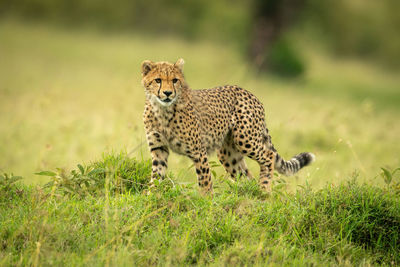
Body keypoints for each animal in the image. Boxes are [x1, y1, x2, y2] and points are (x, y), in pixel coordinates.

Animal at [141, 58, 316, 194]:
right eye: (158, 80)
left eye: (175, 80)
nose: (168, 93)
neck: (162, 110)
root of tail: (249, 93)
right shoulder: (159, 149)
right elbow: (157, 175)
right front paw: (151, 197)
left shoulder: (199, 152)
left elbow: (205, 181)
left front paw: (206, 203)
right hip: (228, 153)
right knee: (246, 176)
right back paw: (250, 195)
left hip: (245, 139)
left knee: (269, 156)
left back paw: (264, 191)